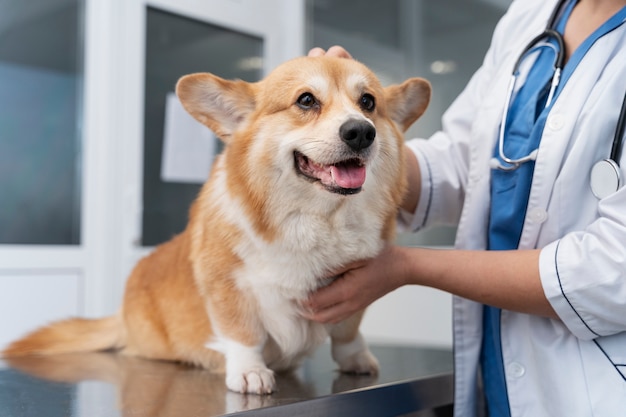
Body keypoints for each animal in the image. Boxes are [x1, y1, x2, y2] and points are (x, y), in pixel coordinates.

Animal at [2, 55, 428, 394]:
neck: (316, 217)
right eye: (306, 100)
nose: (360, 131)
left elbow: (347, 331)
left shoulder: (355, 287)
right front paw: (250, 372)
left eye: (368, 102)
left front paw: (357, 359)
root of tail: (121, 315)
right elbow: (241, 332)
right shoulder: (226, 284)